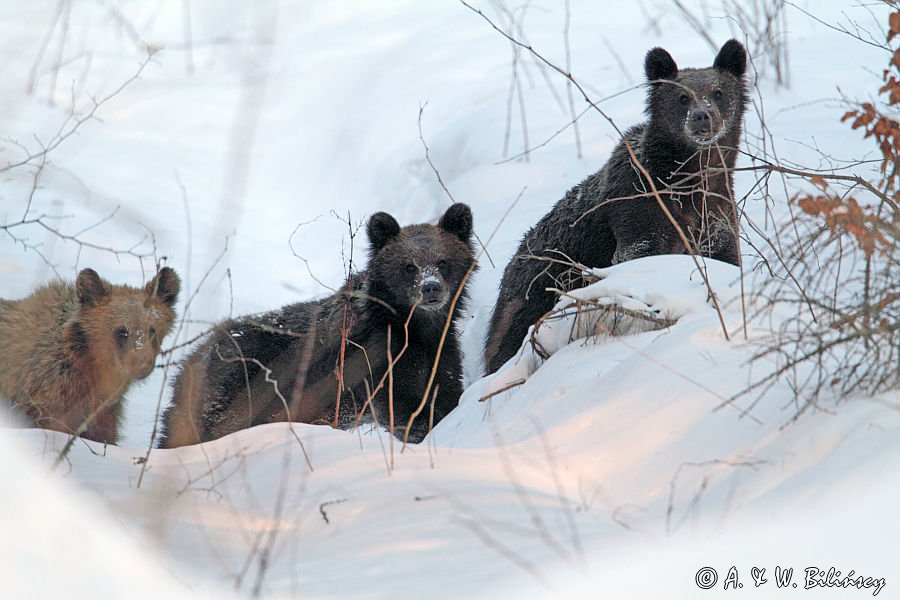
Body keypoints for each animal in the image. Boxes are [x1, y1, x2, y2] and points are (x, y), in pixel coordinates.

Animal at [159, 204, 478, 448]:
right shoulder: (374, 359)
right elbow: (403, 408)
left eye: (443, 261)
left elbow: (446, 393)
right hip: (235, 391)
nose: (431, 287)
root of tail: (191, 359)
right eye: (409, 265)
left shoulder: (440, 352)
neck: (413, 328)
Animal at [482, 39, 748, 372]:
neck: (687, 183)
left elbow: (726, 258)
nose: (702, 117)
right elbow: (636, 257)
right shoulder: (638, 214)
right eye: (682, 96)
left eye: (718, 91)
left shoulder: (716, 215)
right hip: (532, 294)